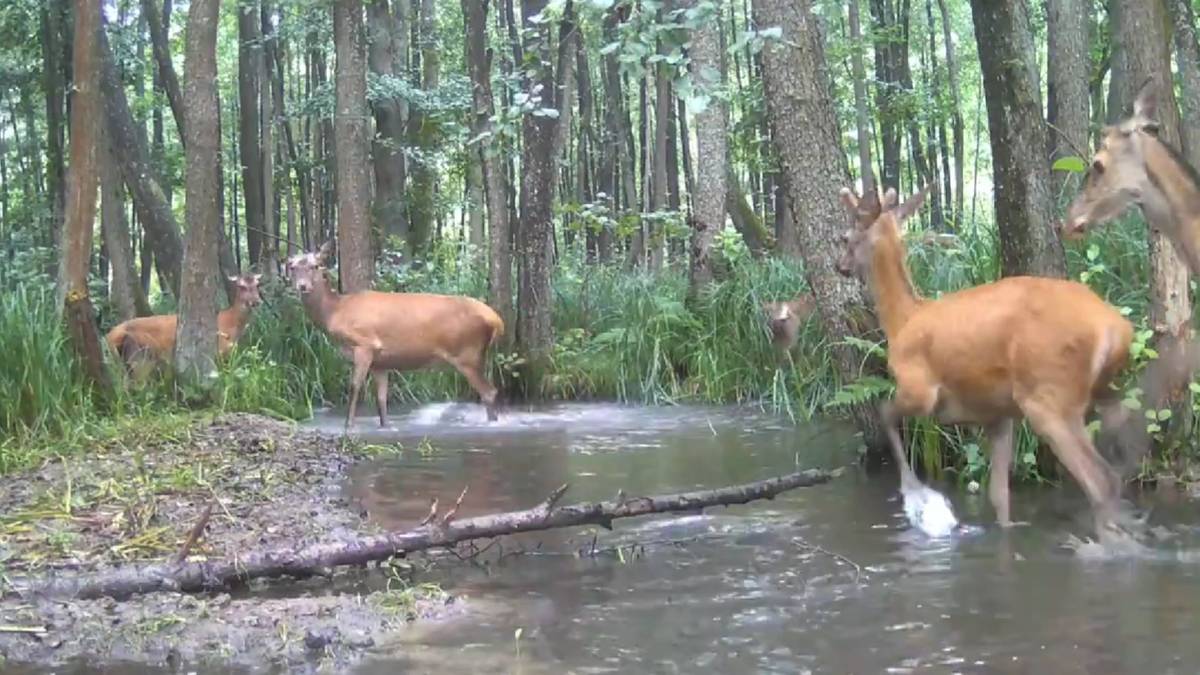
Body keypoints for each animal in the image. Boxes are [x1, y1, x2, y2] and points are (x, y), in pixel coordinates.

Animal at [106, 269, 262, 372]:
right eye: (241, 286)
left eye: (257, 285)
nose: (256, 302)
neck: (231, 325)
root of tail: (108, 337)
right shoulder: (219, 351)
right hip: (138, 358)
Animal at [283, 241, 504, 427]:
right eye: (292, 267)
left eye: (315, 266)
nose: (302, 286)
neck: (335, 313)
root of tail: (496, 320)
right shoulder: (381, 362)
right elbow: (381, 399)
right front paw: (384, 425)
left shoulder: (365, 344)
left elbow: (354, 386)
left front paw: (348, 424)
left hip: (467, 353)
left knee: (489, 392)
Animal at [835, 181, 1132, 538]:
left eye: (846, 237)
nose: (840, 266)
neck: (902, 321)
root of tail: (1115, 328)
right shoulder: (998, 415)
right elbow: (999, 496)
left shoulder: (919, 388)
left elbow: (885, 414)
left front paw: (916, 493)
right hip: (1104, 393)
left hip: (1048, 395)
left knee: (1100, 480)